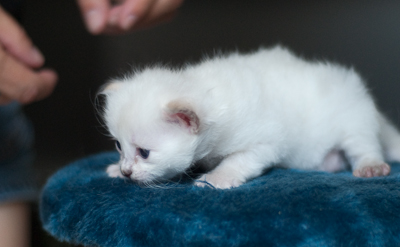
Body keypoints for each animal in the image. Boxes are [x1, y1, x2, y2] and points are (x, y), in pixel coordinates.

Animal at [99, 45, 400, 189]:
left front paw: (217, 178)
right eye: (119, 146)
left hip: (353, 119)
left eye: (145, 152)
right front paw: (114, 168)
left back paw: (371, 166)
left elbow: (238, 161)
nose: (126, 171)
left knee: (364, 145)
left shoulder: (266, 143)